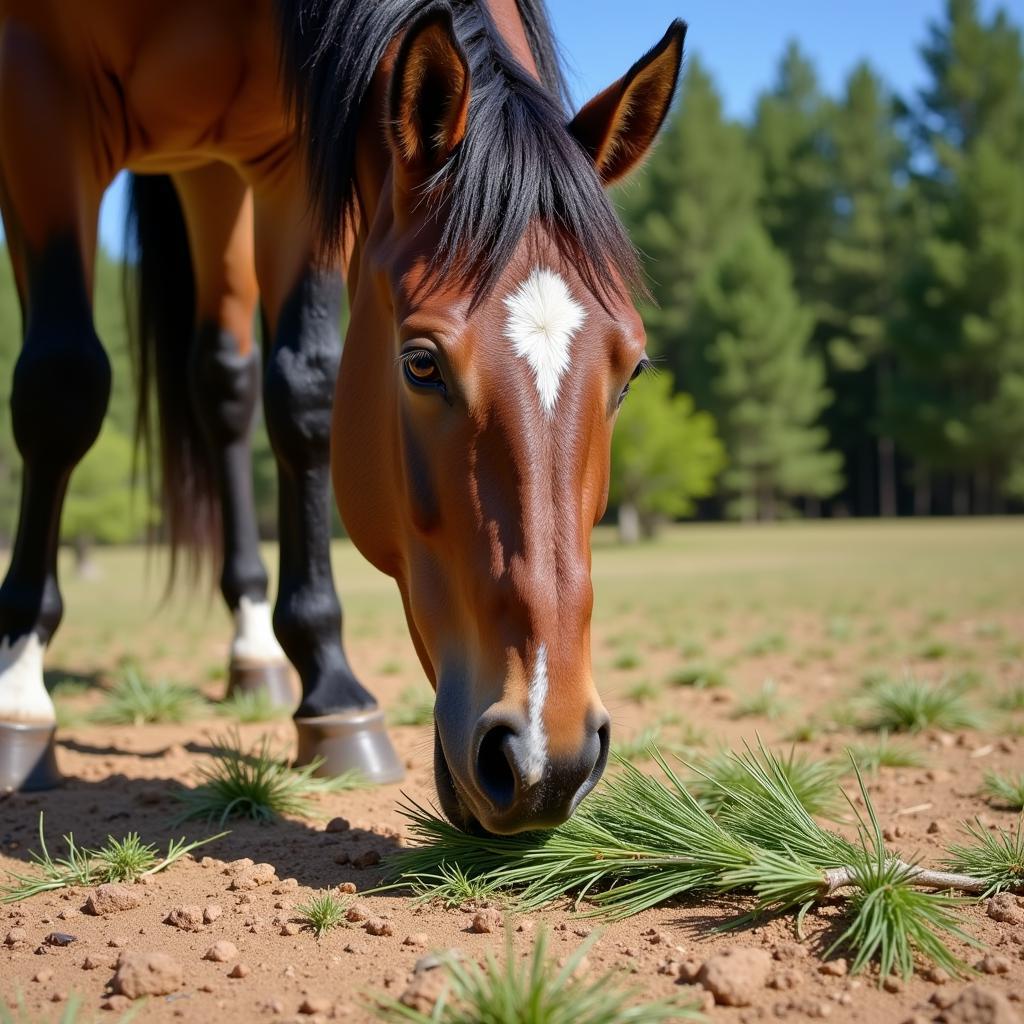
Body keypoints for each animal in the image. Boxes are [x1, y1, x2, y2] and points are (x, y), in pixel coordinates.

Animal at [2, 0, 688, 835]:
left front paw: (331, 692)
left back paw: (257, 653)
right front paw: (19, 694)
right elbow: (61, 384)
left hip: (214, 179)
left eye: (631, 373)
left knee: (223, 381)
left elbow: (301, 389)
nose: (547, 759)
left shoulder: (294, 163)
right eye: (421, 364)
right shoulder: (38, 94)